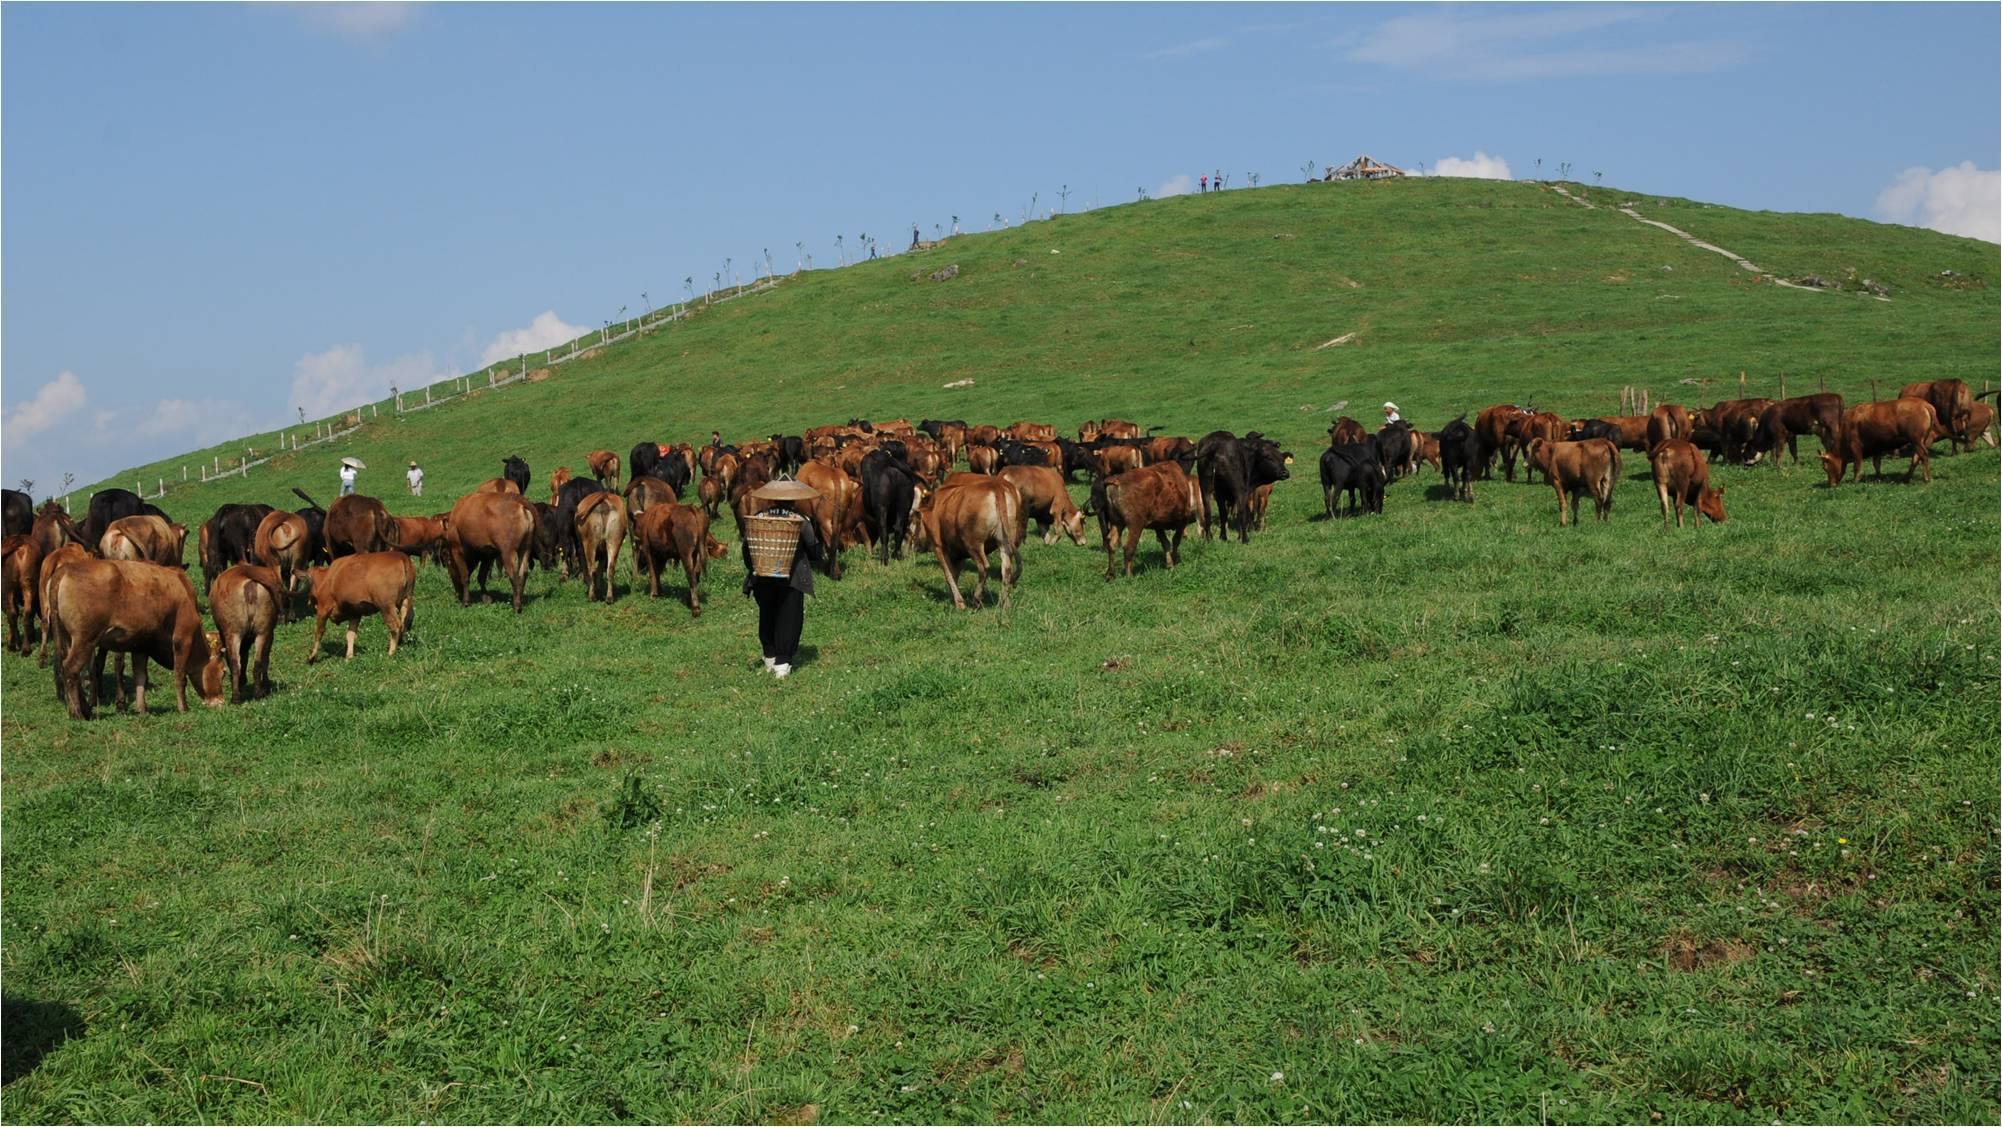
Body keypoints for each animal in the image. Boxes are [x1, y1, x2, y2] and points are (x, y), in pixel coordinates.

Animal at [48, 560, 221, 720]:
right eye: (223, 672)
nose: (221, 701)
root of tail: (66, 569)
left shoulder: (141, 646)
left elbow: (140, 677)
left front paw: (142, 709)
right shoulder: (182, 638)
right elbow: (180, 676)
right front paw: (183, 708)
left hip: (68, 639)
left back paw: (85, 709)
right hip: (84, 639)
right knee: (70, 669)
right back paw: (77, 713)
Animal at [208, 564, 282, 704]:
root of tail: (249, 584)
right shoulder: (269, 633)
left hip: (233, 632)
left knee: (236, 662)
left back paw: (237, 696)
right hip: (262, 631)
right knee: (257, 662)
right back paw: (258, 693)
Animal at [916, 480, 1025, 612]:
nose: (916, 545)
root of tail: (996, 485)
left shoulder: (938, 546)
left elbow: (948, 574)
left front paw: (959, 603)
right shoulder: (958, 554)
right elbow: (955, 574)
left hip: (973, 543)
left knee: (984, 567)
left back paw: (976, 600)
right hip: (1004, 541)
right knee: (1006, 569)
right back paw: (1005, 604)